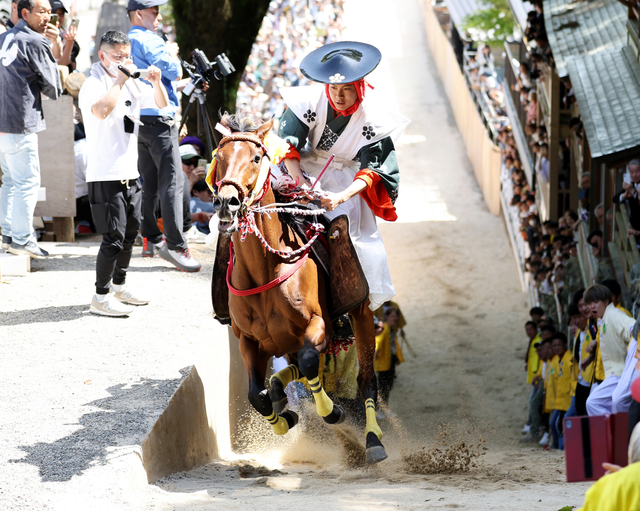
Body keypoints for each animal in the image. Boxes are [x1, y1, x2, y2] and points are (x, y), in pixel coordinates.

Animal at [212, 114, 388, 466]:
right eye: (219, 157)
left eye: (256, 157)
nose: (227, 202)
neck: (264, 270)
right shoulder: (249, 340)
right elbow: (256, 395)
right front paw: (285, 417)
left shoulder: (319, 324)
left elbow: (309, 363)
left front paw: (333, 412)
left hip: (360, 314)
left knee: (364, 380)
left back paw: (372, 441)